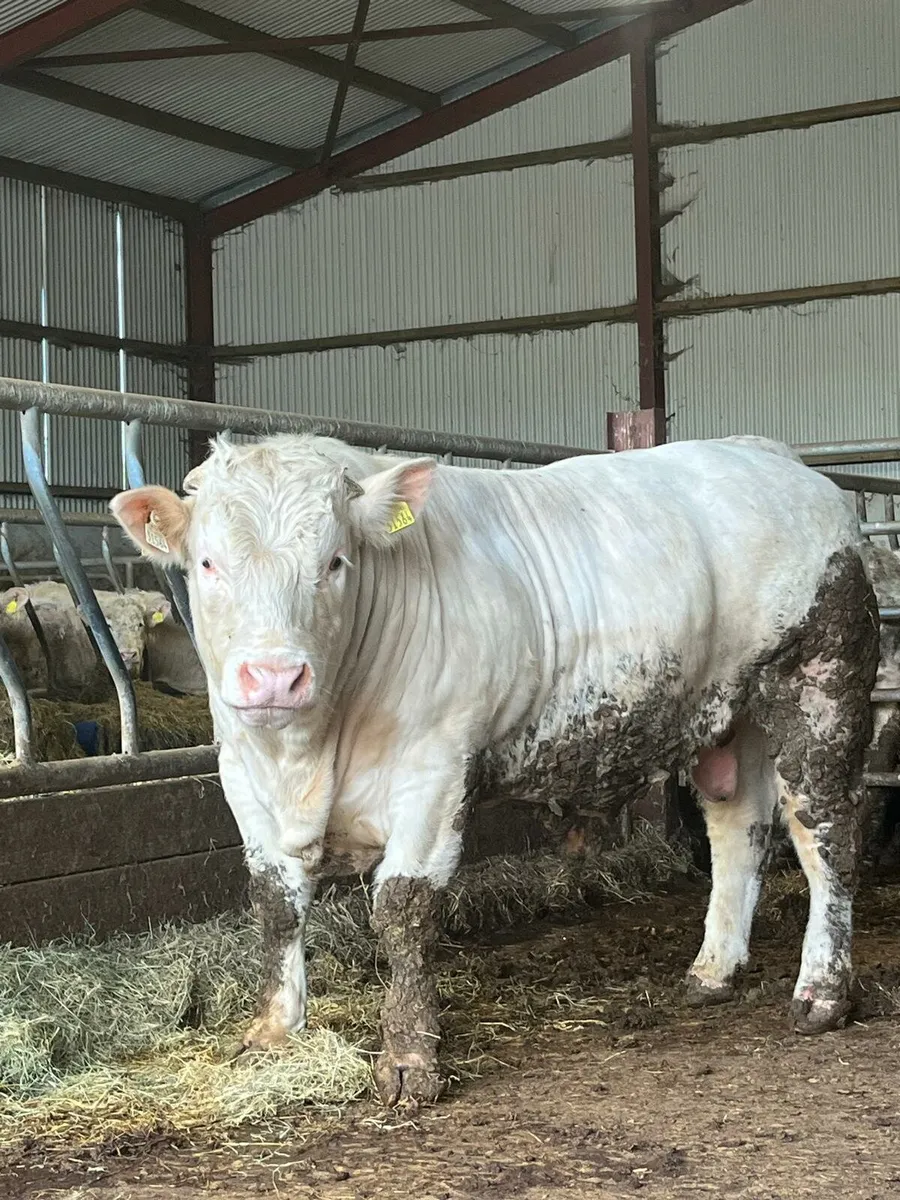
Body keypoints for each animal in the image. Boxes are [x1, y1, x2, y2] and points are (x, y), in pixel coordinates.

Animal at [111, 432, 879, 1108]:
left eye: (335, 562)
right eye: (207, 564)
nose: (274, 676)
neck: (307, 753)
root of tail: (771, 456)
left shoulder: (434, 769)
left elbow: (403, 910)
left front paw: (408, 1061)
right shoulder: (243, 775)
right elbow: (275, 902)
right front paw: (274, 1032)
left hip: (820, 685)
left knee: (826, 833)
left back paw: (823, 992)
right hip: (733, 713)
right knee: (738, 828)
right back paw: (713, 970)